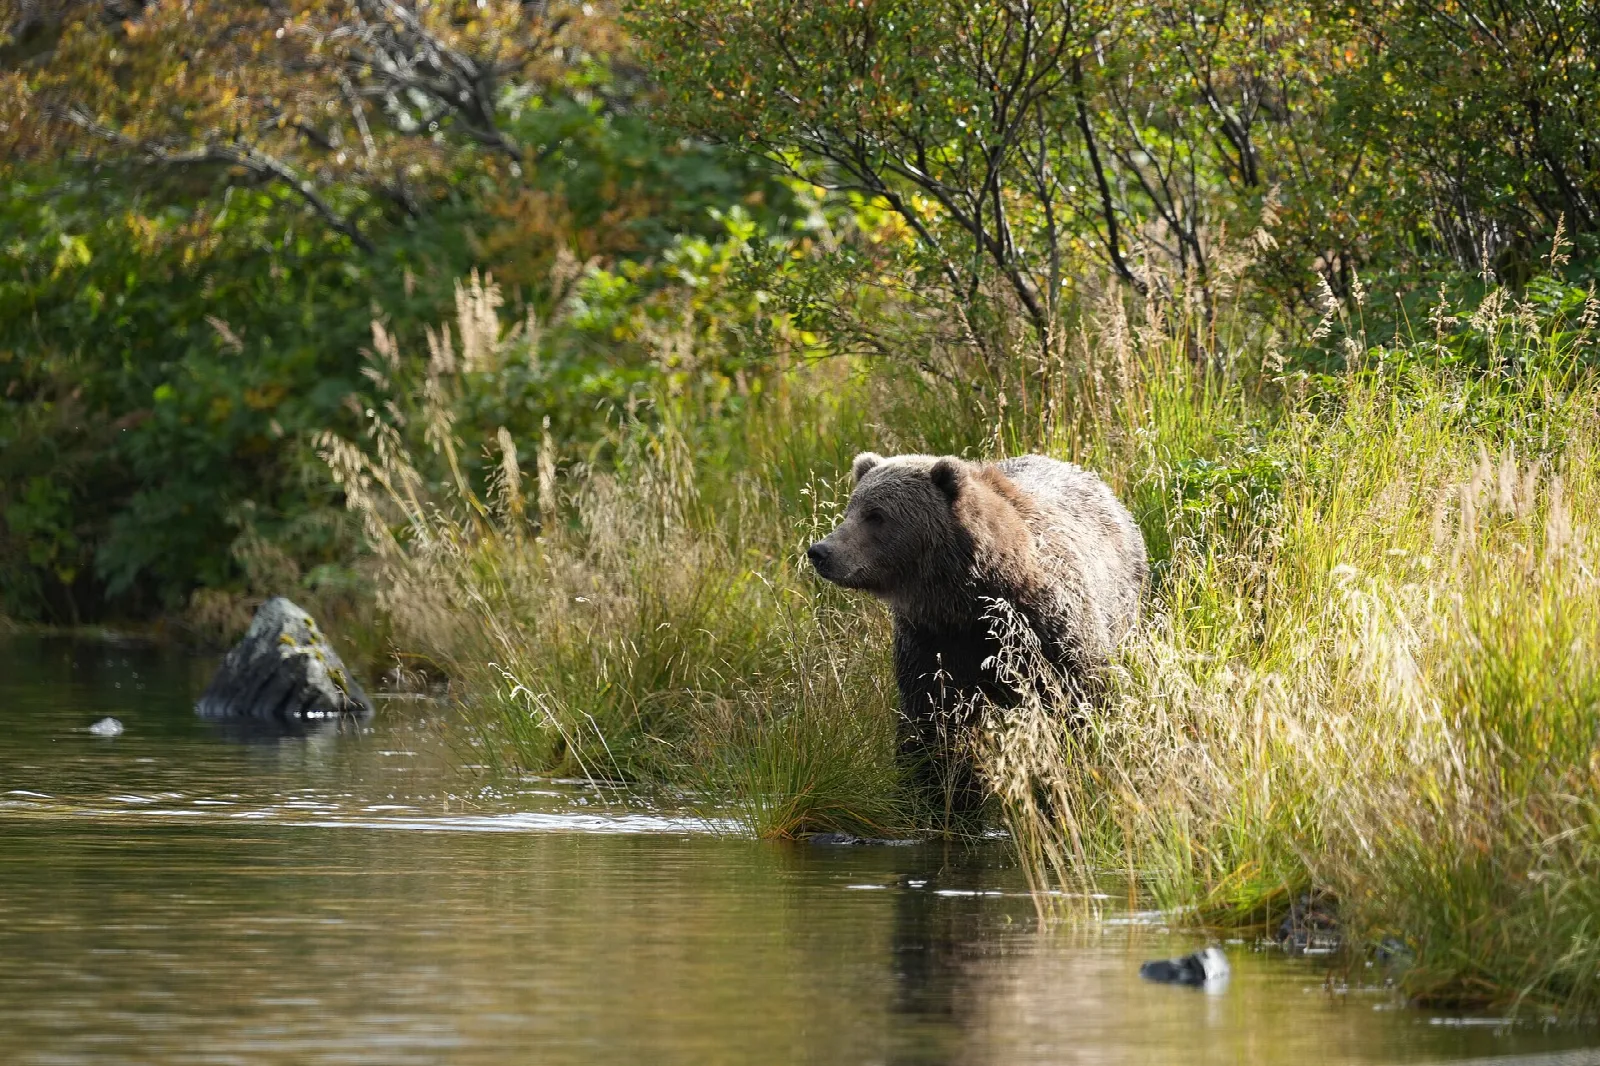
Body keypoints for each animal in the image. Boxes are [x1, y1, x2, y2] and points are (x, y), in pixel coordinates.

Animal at [806, 452, 1147, 811]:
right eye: (851, 509)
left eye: (876, 515)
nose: (821, 551)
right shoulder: (933, 643)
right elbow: (931, 723)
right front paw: (939, 798)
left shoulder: (1047, 631)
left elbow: (1080, 700)